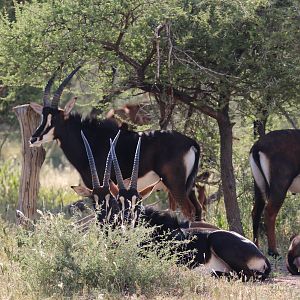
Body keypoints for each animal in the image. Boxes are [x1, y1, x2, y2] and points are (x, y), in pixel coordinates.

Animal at [29, 67, 202, 219]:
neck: (93, 138)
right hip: (188, 187)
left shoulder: (99, 186)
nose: (33, 139)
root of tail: (191, 143)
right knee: (198, 209)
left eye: (54, 119)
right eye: (43, 116)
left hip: (175, 184)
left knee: (189, 210)